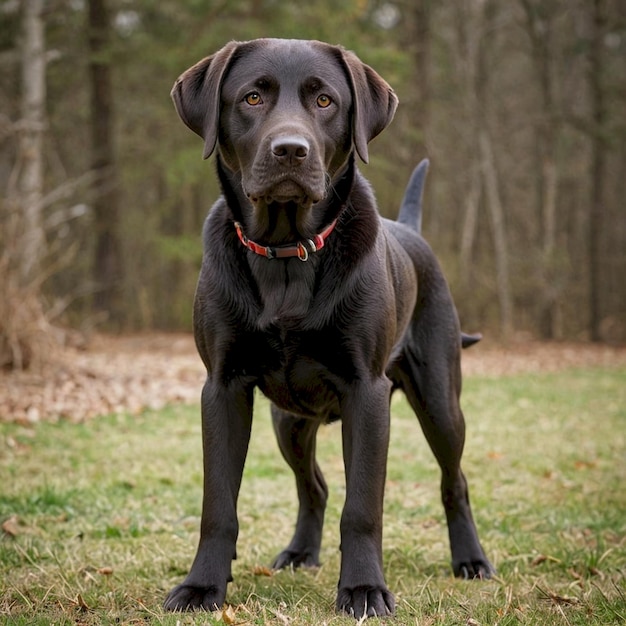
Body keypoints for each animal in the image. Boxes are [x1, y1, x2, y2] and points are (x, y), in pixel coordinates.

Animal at [162, 39, 492, 620]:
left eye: (324, 100)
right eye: (251, 97)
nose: (290, 150)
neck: (286, 255)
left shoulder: (366, 391)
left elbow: (362, 506)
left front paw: (363, 590)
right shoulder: (222, 388)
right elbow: (218, 504)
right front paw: (202, 587)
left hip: (439, 400)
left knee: (455, 481)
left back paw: (470, 560)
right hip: (288, 422)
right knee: (312, 486)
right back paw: (300, 552)